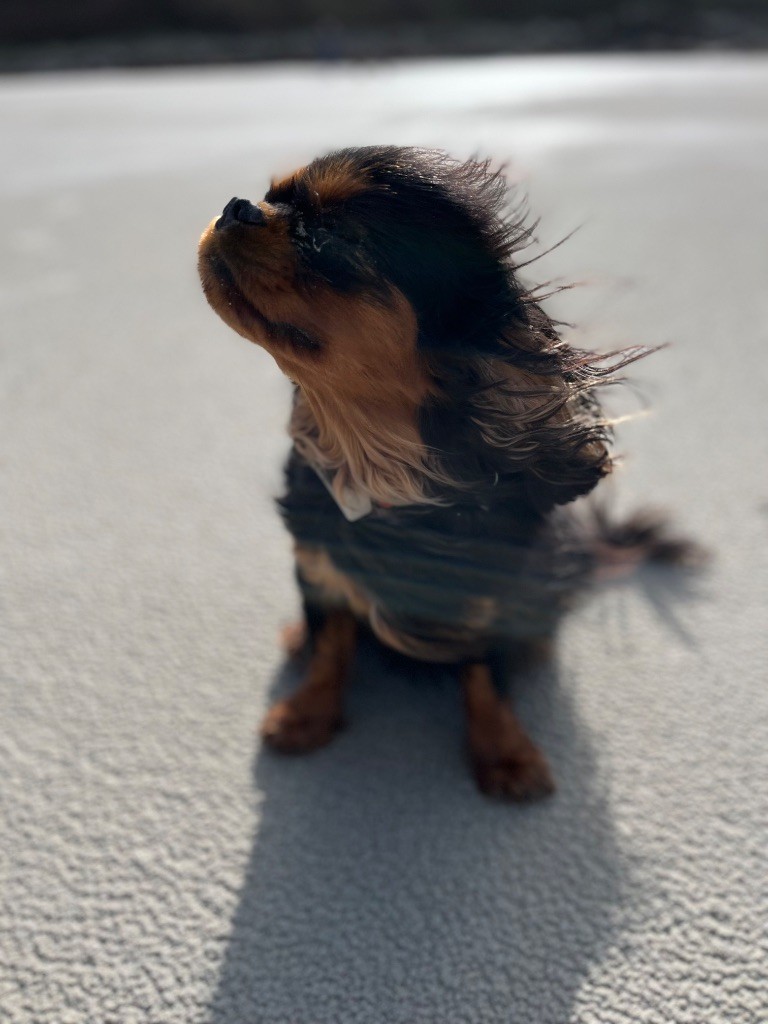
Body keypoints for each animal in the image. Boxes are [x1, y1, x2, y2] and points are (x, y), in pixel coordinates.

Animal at [198, 146, 692, 798]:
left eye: (337, 238)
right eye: (272, 195)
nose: (239, 206)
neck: (379, 477)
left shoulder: (496, 594)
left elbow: (486, 677)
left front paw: (505, 753)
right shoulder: (319, 570)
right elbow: (331, 644)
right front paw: (308, 713)